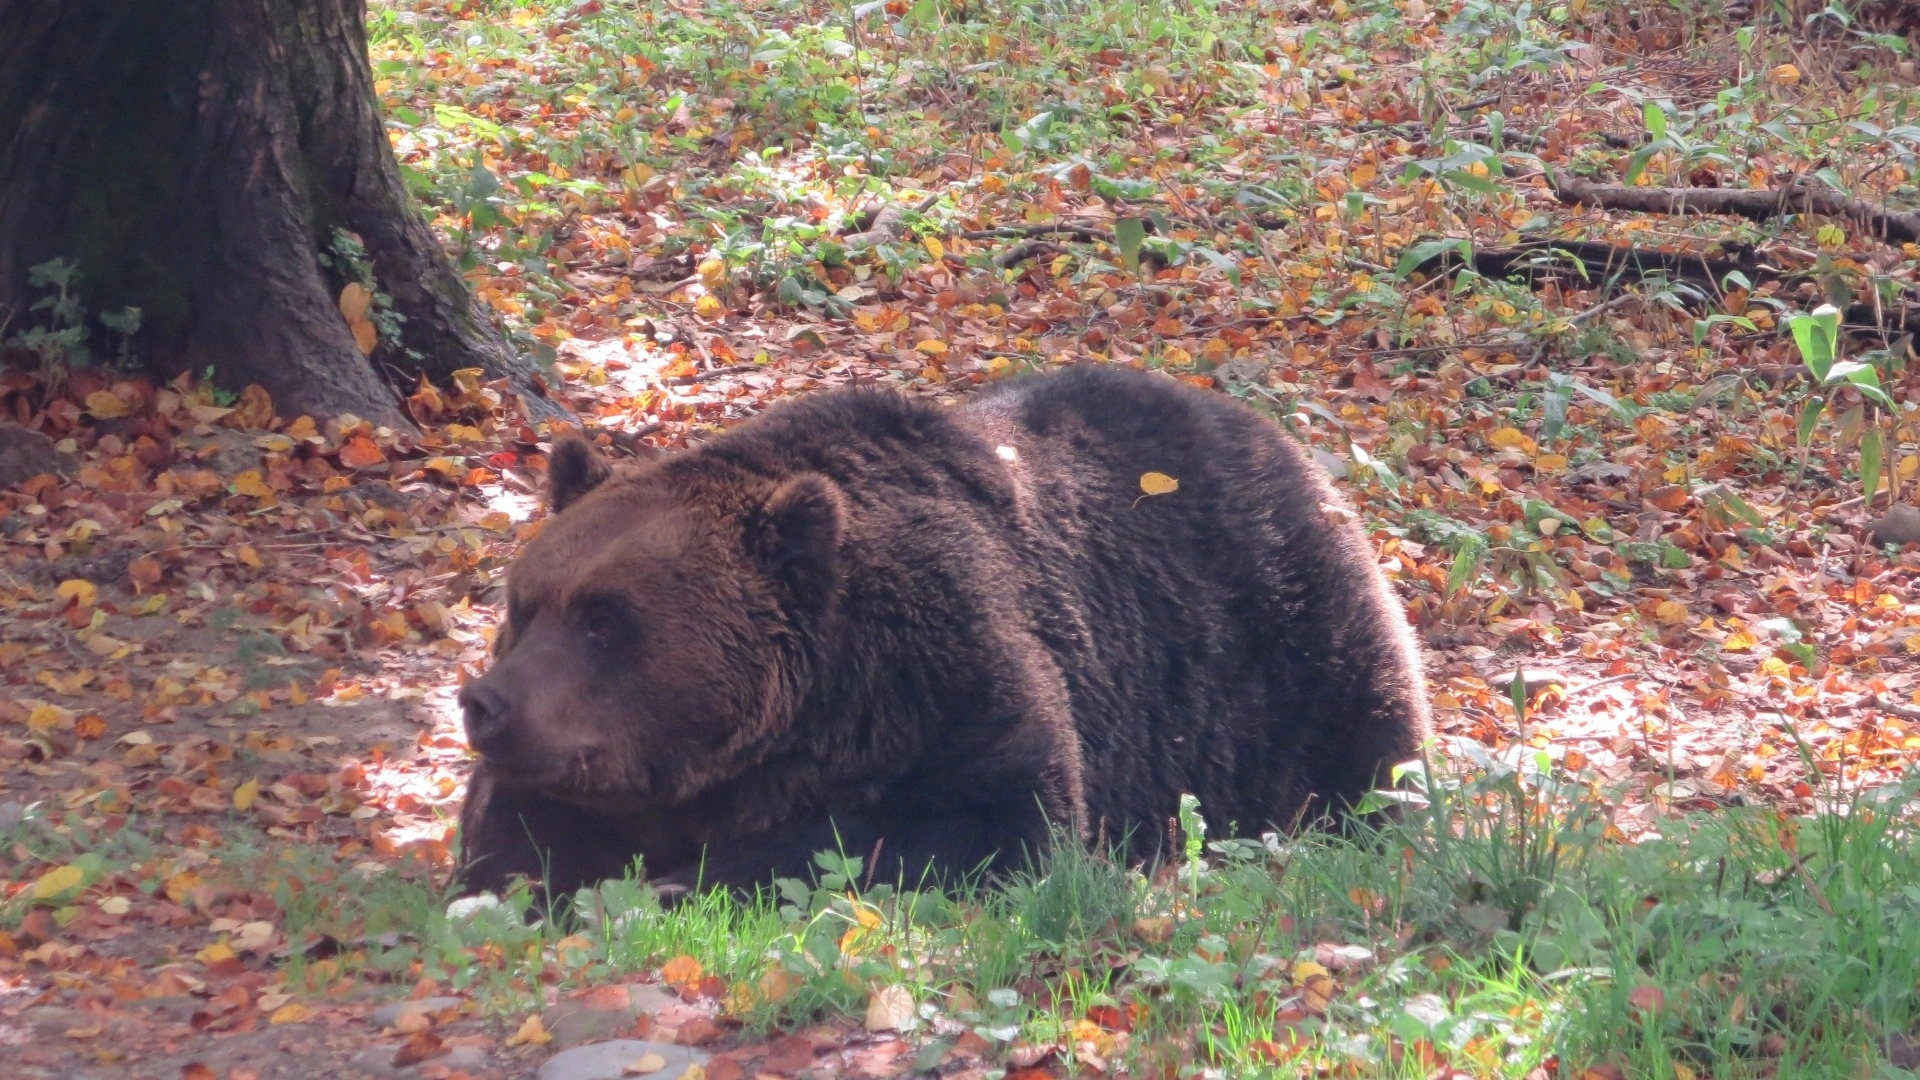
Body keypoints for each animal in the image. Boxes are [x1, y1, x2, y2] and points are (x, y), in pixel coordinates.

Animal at [456, 365, 1436, 895]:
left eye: (605, 620)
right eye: (524, 606)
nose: (484, 703)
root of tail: (1282, 437)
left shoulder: (951, 676)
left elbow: (983, 823)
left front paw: (693, 877)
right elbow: (516, 827)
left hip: (1282, 640)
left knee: (1366, 755)